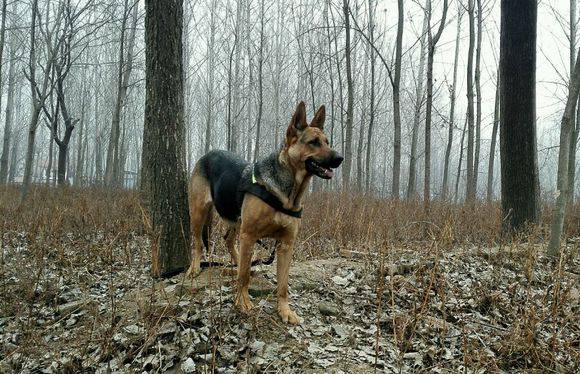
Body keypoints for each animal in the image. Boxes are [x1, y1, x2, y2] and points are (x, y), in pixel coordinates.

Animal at [186, 101, 342, 324]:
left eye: (327, 142)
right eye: (314, 142)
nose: (340, 158)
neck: (287, 193)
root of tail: (206, 155)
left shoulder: (285, 245)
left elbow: (283, 285)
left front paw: (284, 310)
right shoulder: (249, 235)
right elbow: (244, 276)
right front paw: (242, 302)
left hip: (236, 220)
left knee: (229, 240)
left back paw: (236, 260)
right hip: (200, 213)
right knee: (198, 242)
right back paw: (195, 267)